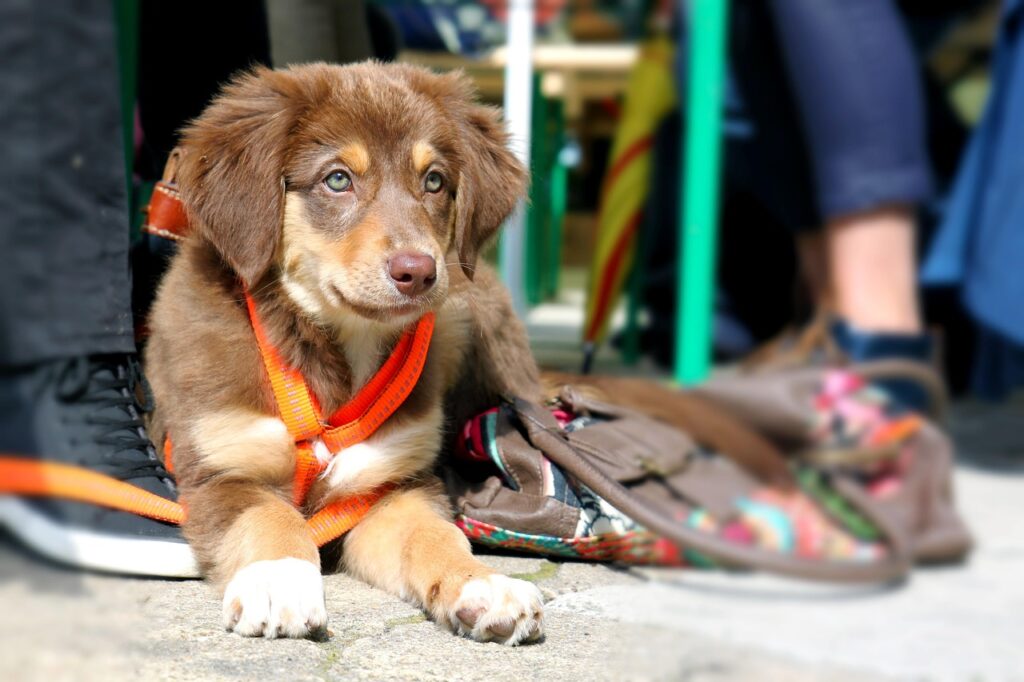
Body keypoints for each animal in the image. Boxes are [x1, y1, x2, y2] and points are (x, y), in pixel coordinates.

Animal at [147, 62, 544, 643]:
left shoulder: (390, 486)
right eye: (338, 179)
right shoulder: (220, 472)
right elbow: (270, 517)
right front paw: (279, 579)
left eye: (434, 180)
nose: (418, 272)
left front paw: (481, 583)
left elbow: (435, 535)